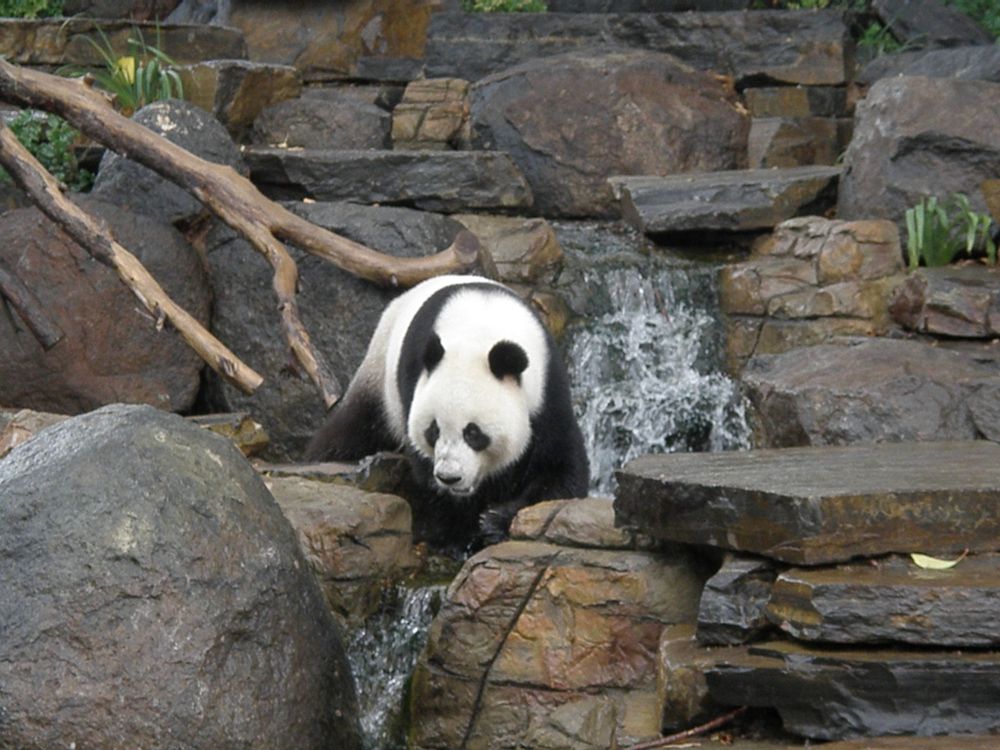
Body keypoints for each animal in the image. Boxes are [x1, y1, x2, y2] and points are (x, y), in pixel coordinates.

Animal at [305, 274, 590, 553]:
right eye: (433, 430)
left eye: (473, 433)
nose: (450, 477)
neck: (479, 329)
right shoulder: (412, 382)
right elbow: (428, 475)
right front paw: (459, 535)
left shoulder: (546, 388)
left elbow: (559, 470)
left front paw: (494, 521)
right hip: (380, 373)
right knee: (354, 427)